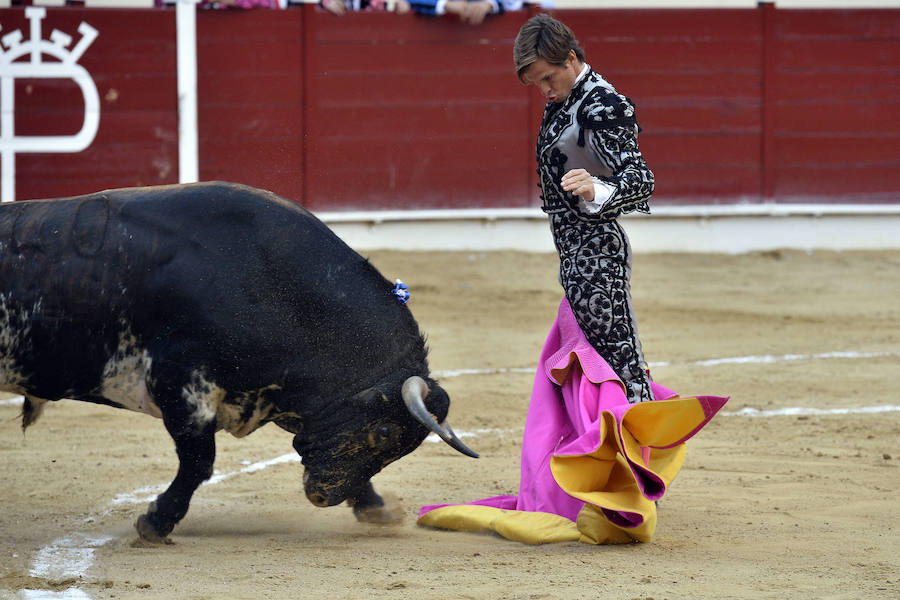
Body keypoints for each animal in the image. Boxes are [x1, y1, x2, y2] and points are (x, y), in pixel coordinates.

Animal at [0, 180, 478, 540]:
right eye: (383, 432)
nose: (323, 497)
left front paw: (377, 509)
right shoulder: (182, 386)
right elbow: (198, 463)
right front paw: (155, 523)